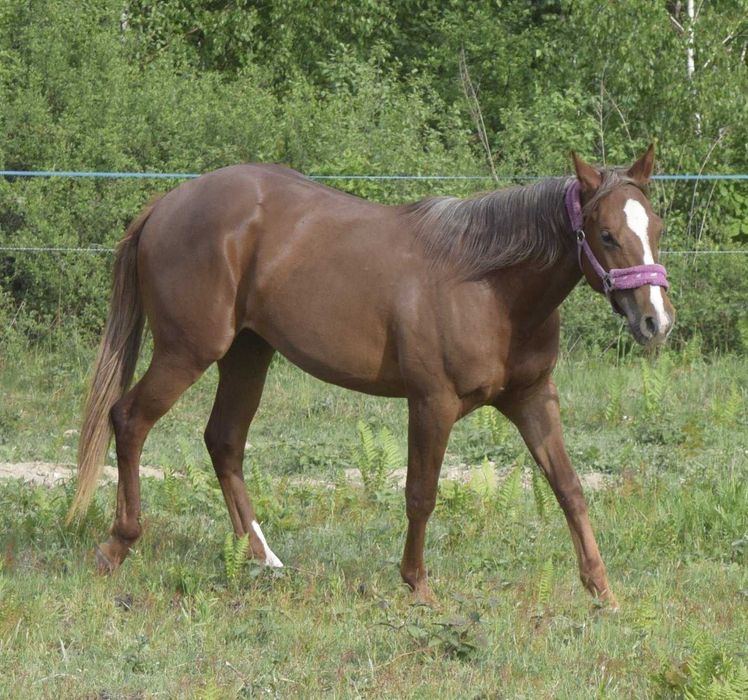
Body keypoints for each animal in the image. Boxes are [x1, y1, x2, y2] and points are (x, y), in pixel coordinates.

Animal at [68, 145, 674, 608]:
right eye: (605, 234)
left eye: (656, 227)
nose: (656, 321)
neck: (490, 286)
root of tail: (169, 202)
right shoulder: (432, 403)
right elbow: (421, 494)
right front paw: (418, 586)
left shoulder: (533, 399)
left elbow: (569, 487)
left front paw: (602, 590)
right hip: (187, 352)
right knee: (129, 419)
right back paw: (117, 545)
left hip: (247, 355)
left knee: (223, 442)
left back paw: (261, 558)